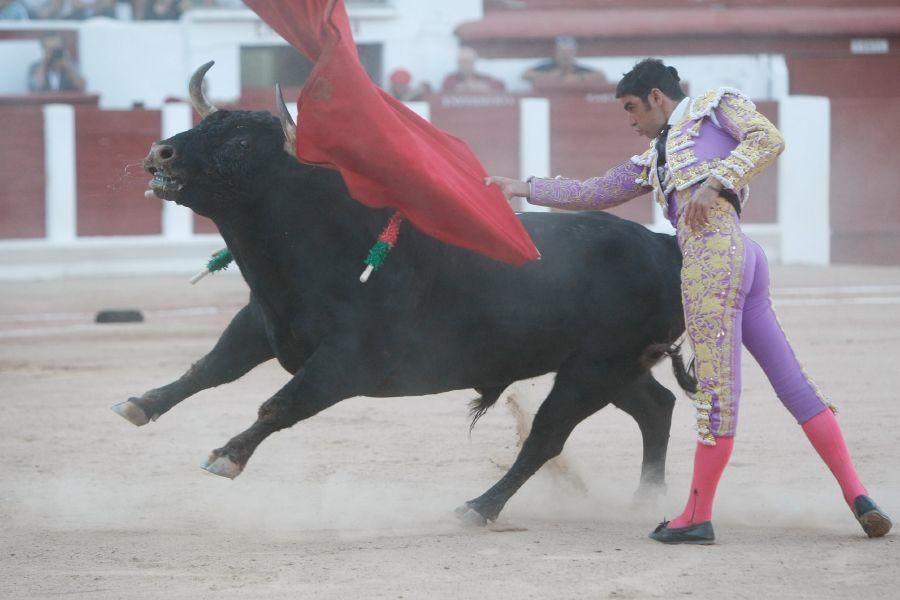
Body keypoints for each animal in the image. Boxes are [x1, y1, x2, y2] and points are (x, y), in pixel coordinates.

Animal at [110, 74, 688, 524]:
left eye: (241, 145)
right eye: (206, 125)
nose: (160, 153)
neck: (331, 239)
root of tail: (662, 247)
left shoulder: (345, 365)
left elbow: (280, 403)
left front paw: (227, 456)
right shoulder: (259, 324)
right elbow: (209, 368)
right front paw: (139, 404)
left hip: (594, 368)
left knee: (547, 436)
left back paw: (479, 507)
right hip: (613, 366)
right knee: (656, 408)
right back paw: (645, 501)